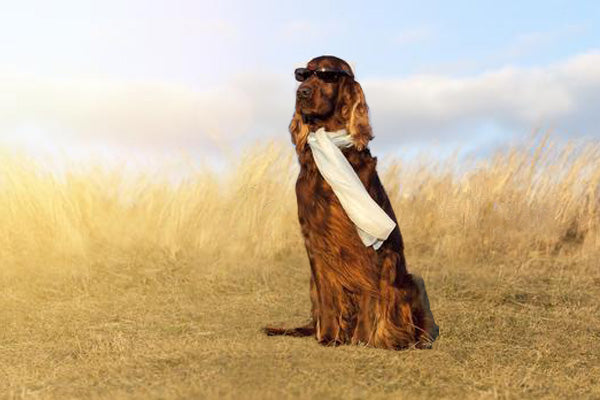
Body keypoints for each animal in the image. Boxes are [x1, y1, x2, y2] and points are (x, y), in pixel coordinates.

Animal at [264, 54, 438, 348]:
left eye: (328, 76)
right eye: (303, 75)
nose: (302, 92)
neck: (332, 147)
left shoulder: (366, 240)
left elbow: (368, 289)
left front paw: (363, 338)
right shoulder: (315, 240)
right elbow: (328, 295)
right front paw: (329, 336)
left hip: (410, 280)